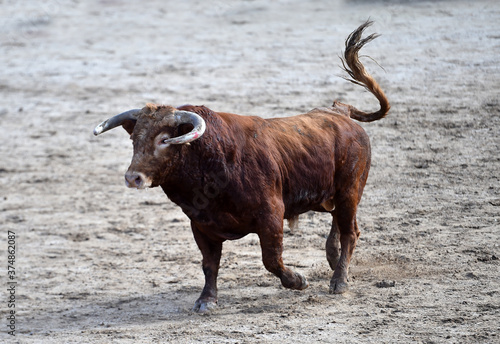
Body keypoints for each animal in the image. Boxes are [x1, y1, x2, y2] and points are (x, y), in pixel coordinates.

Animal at [94, 20, 390, 314]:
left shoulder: (271, 216)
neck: (211, 162)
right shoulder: (201, 225)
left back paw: (339, 281)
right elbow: (209, 264)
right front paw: (206, 300)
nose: (133, 178)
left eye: (164, 140)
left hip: (350, 190)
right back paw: (333, 259)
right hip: (330, 195)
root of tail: (341, 113)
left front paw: (298, 280)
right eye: (134, 138)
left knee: (350, 231)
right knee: (338, 224)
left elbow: (271, 259)